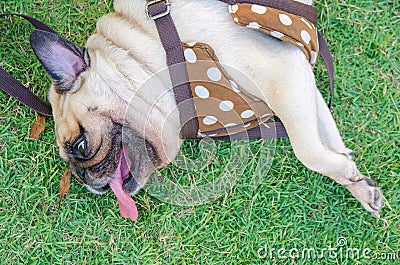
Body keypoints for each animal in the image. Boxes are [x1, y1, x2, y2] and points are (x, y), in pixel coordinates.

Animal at [28, 0, 384, 216]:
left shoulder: (282, 77)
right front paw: (355, 183)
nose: (83, 177)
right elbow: (328, 139)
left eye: (79, 145)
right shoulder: (300, 82)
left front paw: (344, 173)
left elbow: (307, 150)